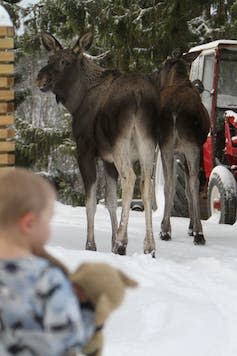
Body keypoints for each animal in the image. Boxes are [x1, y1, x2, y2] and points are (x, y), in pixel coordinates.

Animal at [37, 32, 159, 256]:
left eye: (65, 62)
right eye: (49, 58)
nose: (40, 79)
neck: (76, 102)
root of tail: (140, 96)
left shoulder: (85, 151)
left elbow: (91, 202)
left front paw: (92, 245)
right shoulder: (108, 160)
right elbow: (110, 201)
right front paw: (112, 242)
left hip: (121, 143)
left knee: (130, 178)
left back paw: (121, 242)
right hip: (148, 143)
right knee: (146, 183)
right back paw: (149, 246)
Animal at [155, 49, 210, 245]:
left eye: (162, 64)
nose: (154, 75)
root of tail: (176, 110)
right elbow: (187, 187)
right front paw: (191, 227)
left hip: (172, 146)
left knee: (174, 183)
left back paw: (167, 230)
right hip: (189, 146)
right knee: (192, 182)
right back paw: (197, 232)